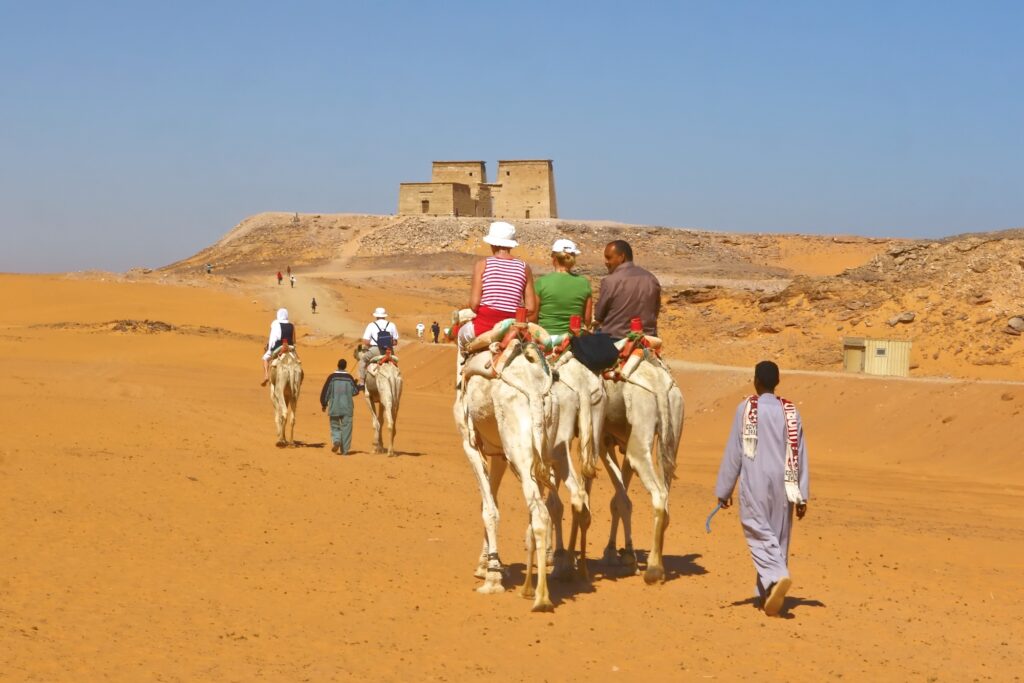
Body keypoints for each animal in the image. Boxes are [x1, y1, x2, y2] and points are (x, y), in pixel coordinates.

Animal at [453, 331, 559, 612]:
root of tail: (533, 388)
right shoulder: (498, 452)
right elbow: (490, 500)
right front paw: (485, 565)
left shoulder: (470, 444)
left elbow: (489, 509)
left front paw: (492, 577)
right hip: (543, 447)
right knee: (543, 507)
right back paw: (531, 586)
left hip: (518, 450)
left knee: (539, 512)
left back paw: (541, 597)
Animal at [601, 353, 684, 584]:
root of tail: (659, 385)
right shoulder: (621, 441)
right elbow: (619, 500)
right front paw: (621, 553)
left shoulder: (602, 441)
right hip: (671, 431)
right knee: (666, 495)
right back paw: (658, 563)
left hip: (640, 438)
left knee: (658, 495)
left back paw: (654, 570)